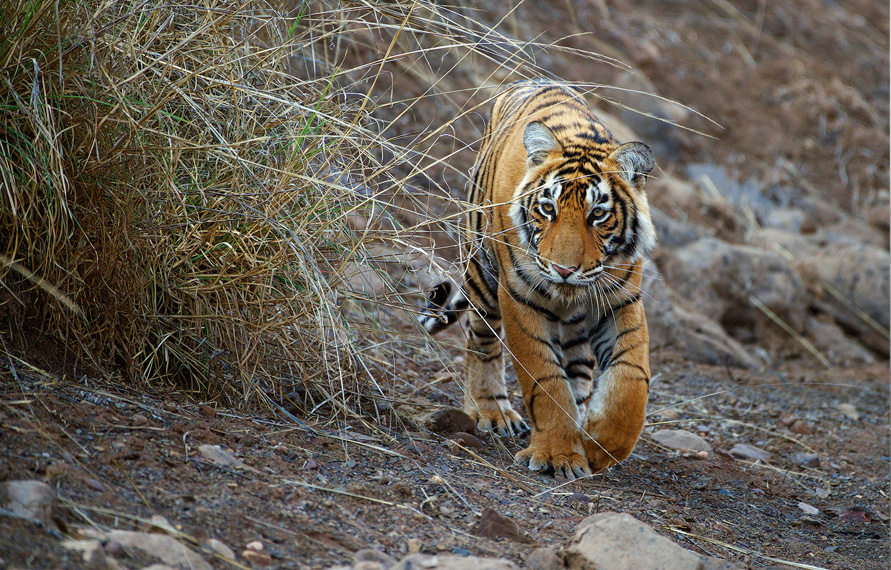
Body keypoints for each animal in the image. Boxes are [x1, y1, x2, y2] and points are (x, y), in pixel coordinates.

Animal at [426, 80, 656, 478]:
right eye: (548, 208)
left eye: (598, 214)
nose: (563, 270)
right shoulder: (520, 299)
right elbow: (544, 380)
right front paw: (556, 453)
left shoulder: (620, 300)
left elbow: (632, 376)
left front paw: (600, 444)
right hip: (482, 274)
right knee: (481, 341)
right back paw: (491, 411)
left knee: (579, 369)